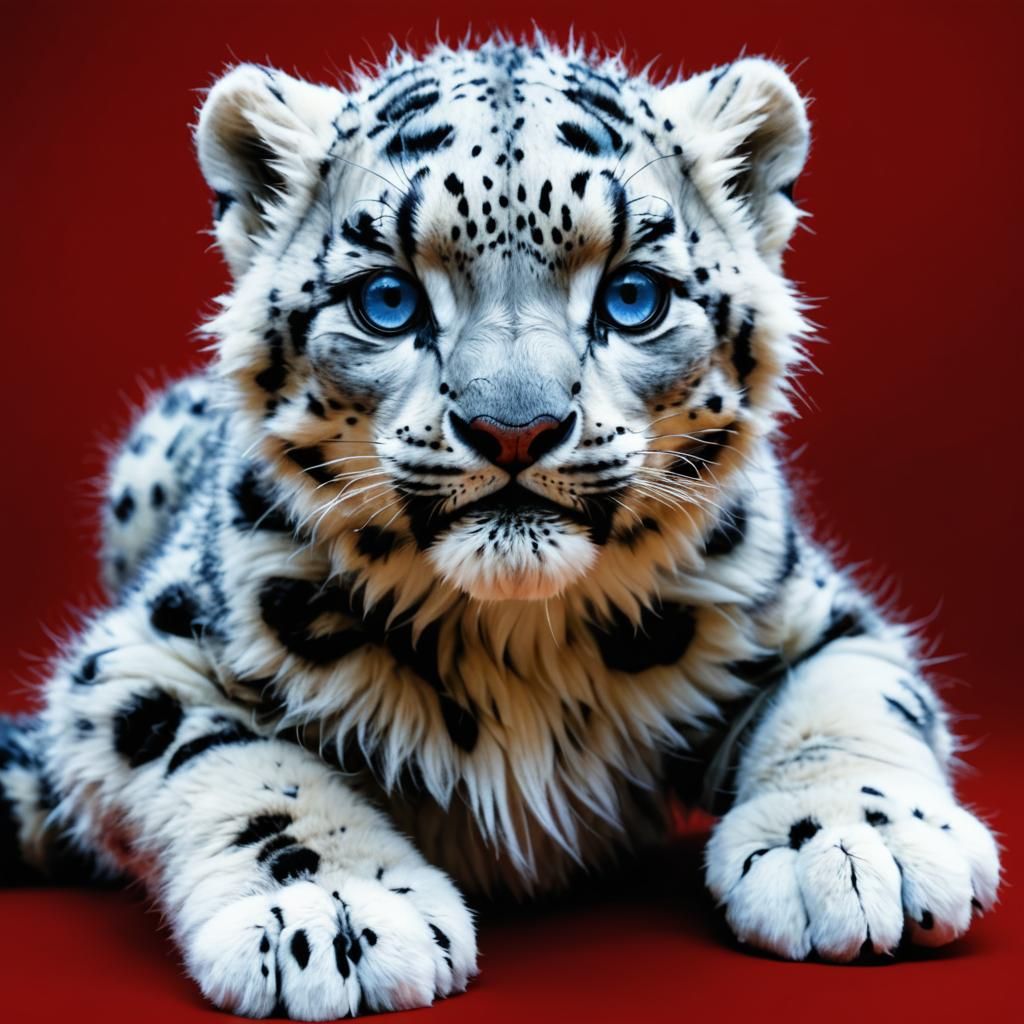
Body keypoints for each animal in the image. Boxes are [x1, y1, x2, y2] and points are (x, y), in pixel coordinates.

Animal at [0, 35, 1001, 1020]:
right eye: (387, 300)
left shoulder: (803, 605)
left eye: (633, 296)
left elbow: (850, 699)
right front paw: (330, 908)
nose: (513, 427)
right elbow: (226, 755)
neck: (518, 642)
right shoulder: (142, 652)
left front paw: (862, 846)